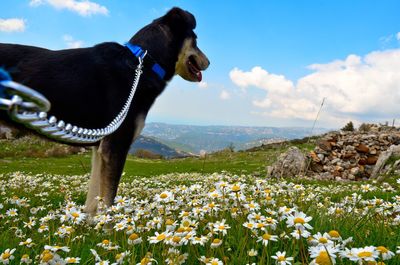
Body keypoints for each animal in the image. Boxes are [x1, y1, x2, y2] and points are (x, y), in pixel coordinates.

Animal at [0, 6, 211, 213]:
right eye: (196, 40)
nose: (209, 62)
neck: (143, 63)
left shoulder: (100, 150)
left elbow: (93, 203)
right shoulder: (116, 145)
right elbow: (108, 200)